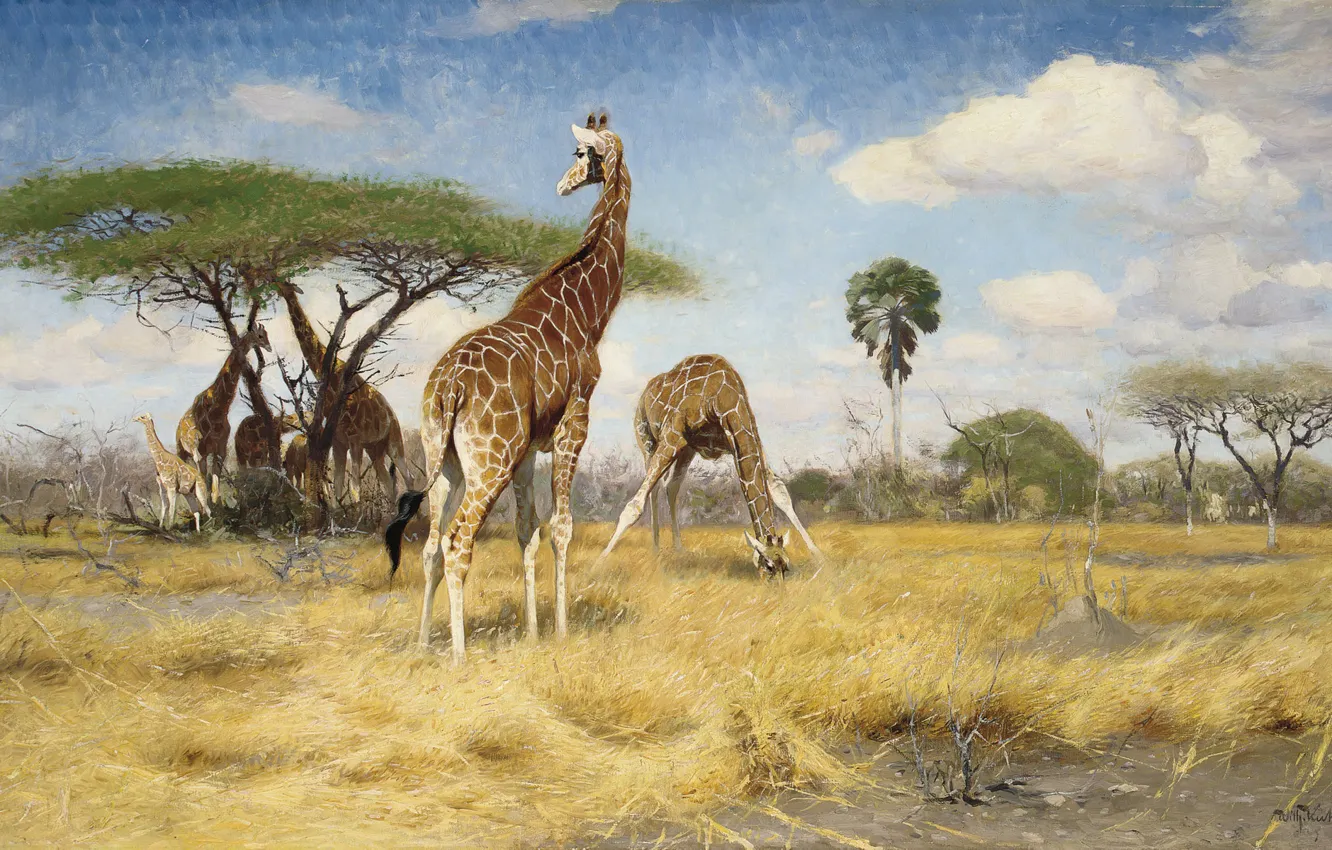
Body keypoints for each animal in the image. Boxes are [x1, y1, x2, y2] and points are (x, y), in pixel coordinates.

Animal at [176, 323, 272, 501]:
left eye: (266, 334)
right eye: (260, 335)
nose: (269, 347)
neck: (218, 410)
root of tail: (178, 429)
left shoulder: (220, 451)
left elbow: (215, 491)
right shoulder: (200, 452)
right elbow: (203, 487)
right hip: (182, 451)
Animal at [275, 283, 407, 502]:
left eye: (285, 284)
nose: (275, 287)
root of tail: (392, 414)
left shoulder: (354, 439)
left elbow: (354, 489)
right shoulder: (339, 442)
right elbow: (338, 486)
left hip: (394, 442)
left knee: (409, 477)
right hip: (375, 449)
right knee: (388, 484)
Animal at [385, 113, 630, 662]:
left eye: (580, 154)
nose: (563, 185)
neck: (585, 311)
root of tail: (448, 386)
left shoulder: (528, 449)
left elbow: (526, 533)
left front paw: (533, 632)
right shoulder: (573, 423)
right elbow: (560, 528)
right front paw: (559, 632)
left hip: (445, 458)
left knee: (430, 544)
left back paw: (422, 643)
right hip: (488, 459)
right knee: (458, 542)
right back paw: (458, 657)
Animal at [598, 354, 822, 575]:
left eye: (786, 566)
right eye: (767, 566)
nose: (777, 584)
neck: (721, 398)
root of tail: (647, 388)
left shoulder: (742, 439)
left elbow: (779, 492)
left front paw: (818, 554)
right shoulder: (672, 435)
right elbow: (633, 507)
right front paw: (600, 561)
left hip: (687, 450)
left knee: (671, 486)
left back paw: (678, 549)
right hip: (647, 438)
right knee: (653, 488)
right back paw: (655, 548)